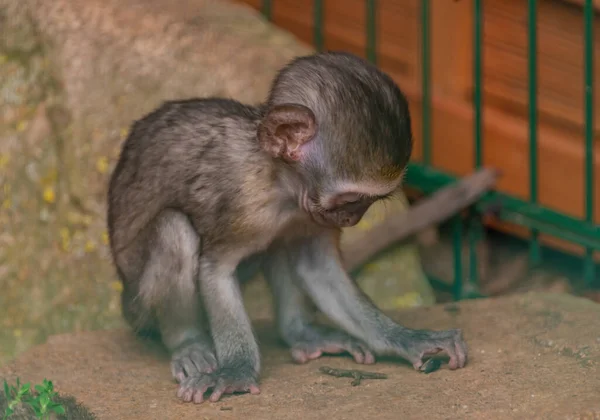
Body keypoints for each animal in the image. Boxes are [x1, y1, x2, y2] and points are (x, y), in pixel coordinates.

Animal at [106, 50, 468, 406]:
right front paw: (237, 370)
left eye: (368, 202)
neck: (281, 181)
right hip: (138, 306)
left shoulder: (309, 215)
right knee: (174, 228)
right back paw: (188, 343)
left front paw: (407, 339)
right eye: (351, 200)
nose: (352, 219)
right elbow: (215, 270)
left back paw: (300, 333)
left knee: (280, 244)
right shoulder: (246, 206)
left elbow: (318, 267)